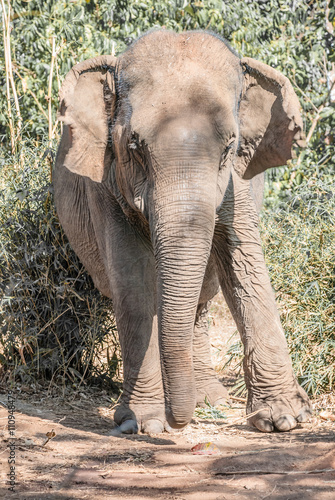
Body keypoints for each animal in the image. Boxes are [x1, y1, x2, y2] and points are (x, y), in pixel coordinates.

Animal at [53, 29, 314, 434]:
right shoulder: (106, 187)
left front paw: (285, 419)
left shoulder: (235, 184)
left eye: (229, 147)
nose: (179, 421)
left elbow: (245, 266)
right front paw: (144, 424)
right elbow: (134, 282)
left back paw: (210, 400)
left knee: (203, 298)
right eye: (134, 146)